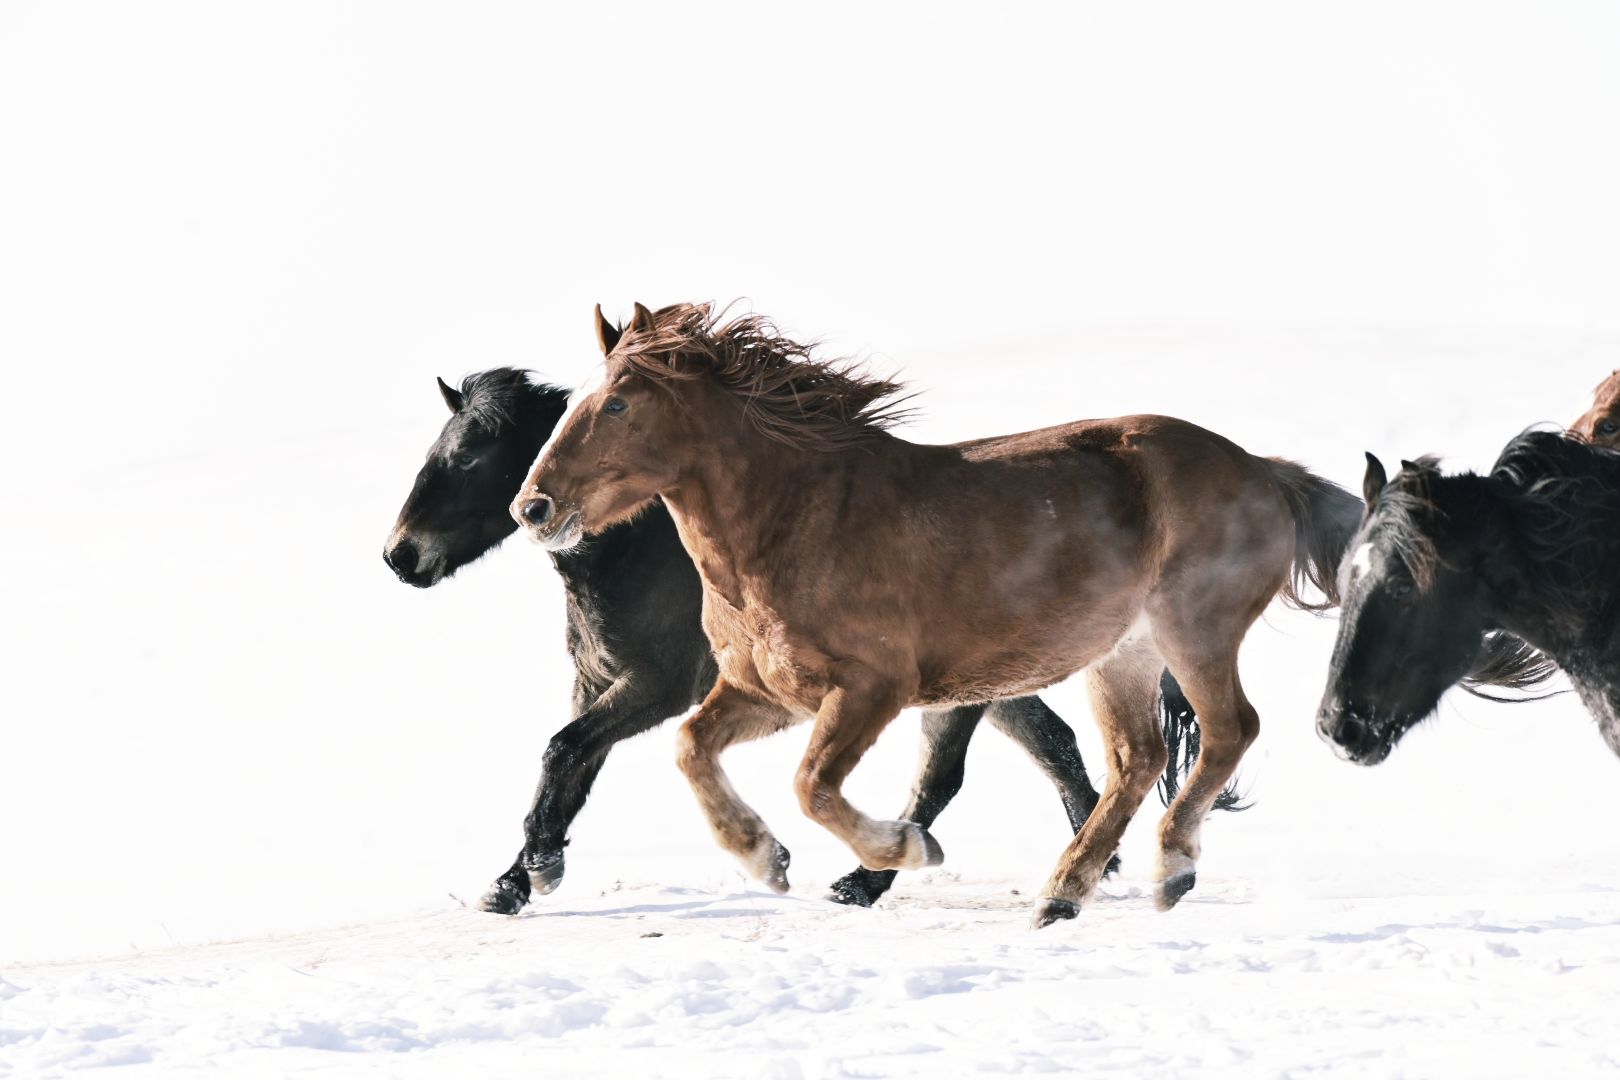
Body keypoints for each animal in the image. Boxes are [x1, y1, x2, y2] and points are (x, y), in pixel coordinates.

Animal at [383, 362, 1185, 913]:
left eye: (468, 456)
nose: (400, 555)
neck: (640, 552)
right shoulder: (605, 685)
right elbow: (570, 772)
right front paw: (516, 880)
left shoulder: (656, 688)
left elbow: (563, 752)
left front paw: (537, 871)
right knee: (1051, 744)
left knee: (947, 776)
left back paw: (866, 881)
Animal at [508, 302, 1367, 932]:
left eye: (618, 402)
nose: (533, 507)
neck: (795, 521)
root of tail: (1263, 472)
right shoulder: (767, 692)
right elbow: (692, 748)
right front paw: (765, 858)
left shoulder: (871, 688)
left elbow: (814, 785)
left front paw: (902, 849)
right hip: (1122, 654)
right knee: (1137, 760)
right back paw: (1062, 894)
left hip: (1195, 629)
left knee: (1228, 732)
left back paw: (1170, 868)